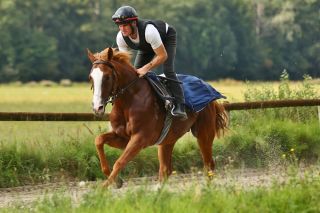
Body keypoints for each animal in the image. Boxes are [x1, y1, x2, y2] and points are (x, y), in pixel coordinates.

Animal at [87, 47, 228, 187]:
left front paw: (104, 188)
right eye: (91, 77)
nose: (97, 107)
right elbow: (99, 140)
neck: (130, 100)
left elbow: (119, 162)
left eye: (107, 77)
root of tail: (208, 87)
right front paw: (115, 180)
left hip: (204, 134)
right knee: (165, 170)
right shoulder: (123, 137)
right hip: (168, 139)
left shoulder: (140, 139)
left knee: (208, 164)